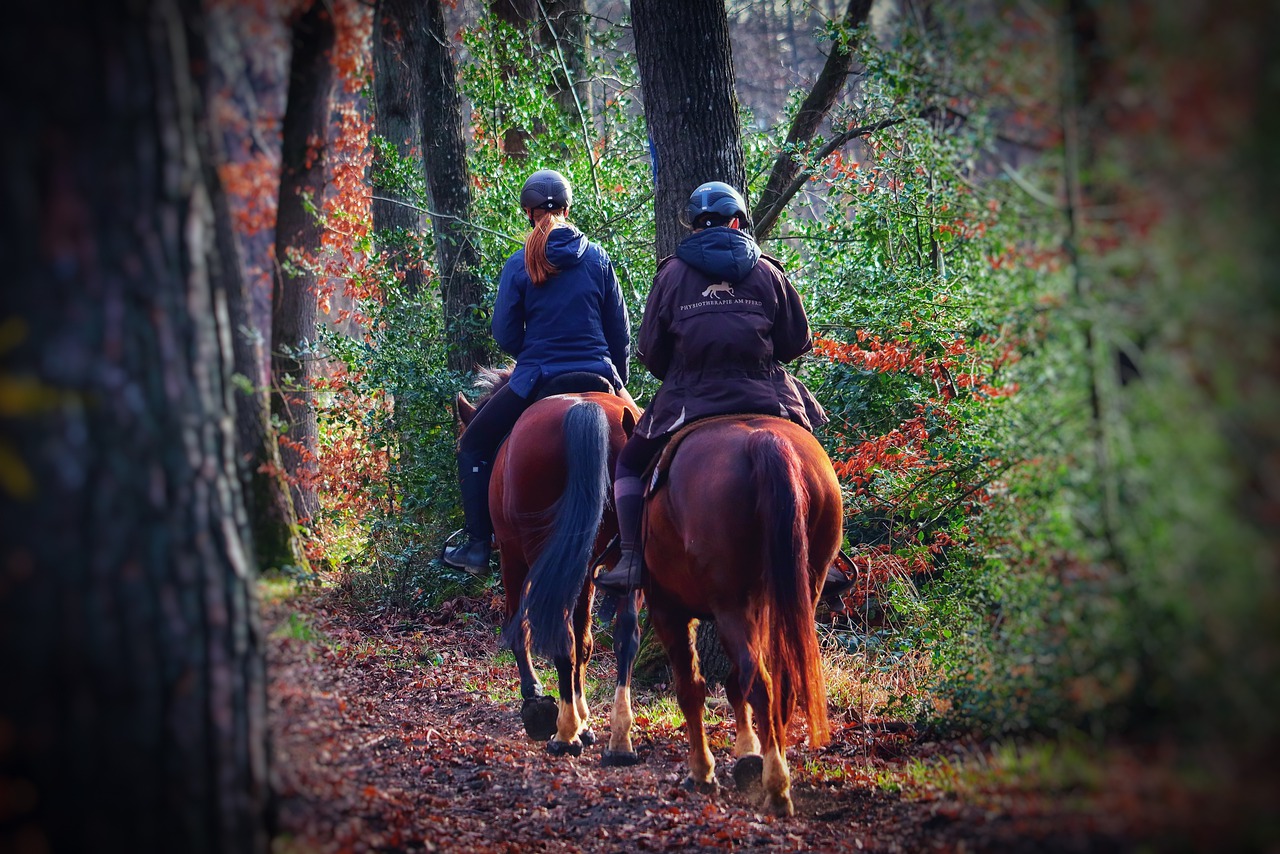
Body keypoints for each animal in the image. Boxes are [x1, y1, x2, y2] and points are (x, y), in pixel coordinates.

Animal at [454, 368, 645, 763]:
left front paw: (537, 701)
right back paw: (619, 739)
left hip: (531, 549)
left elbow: (518, 627)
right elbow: (585, 642)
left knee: (558, 633)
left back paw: (564, 734)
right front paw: (585, 720)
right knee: (624, 636)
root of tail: (586, 411)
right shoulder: (583, 569)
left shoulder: (512, 556)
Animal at [633, 415, 843, 816]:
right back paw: (775, 764)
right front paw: (748, 751)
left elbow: (691, 688)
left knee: (760, 683)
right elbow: (733, 684)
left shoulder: (669, 610)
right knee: (781, 681)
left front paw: (703, 771)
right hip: (800, 589)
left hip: (729, 604)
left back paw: (776, 786)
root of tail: (764, 441)